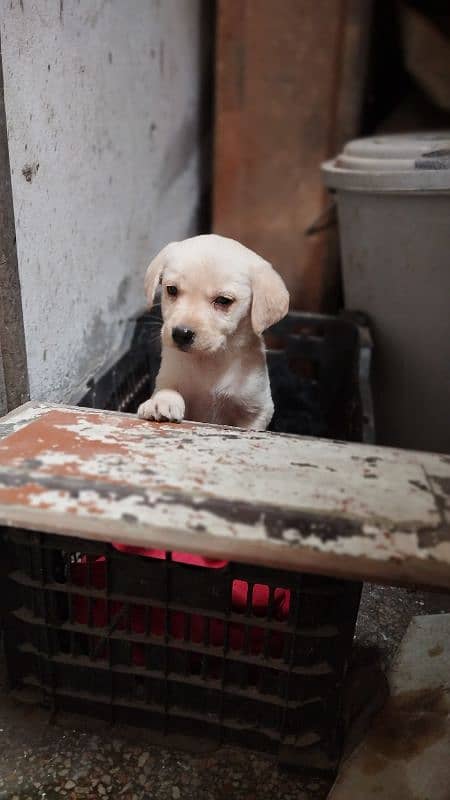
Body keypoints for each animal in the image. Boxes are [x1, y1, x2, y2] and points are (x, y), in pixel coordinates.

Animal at [137, 233, 290, 432]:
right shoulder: (167, 377)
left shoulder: (257, 409)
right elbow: (168, 390)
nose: (181, 333)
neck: (210, 361)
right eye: (171, 289)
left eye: (223, 301)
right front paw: (161, 402)